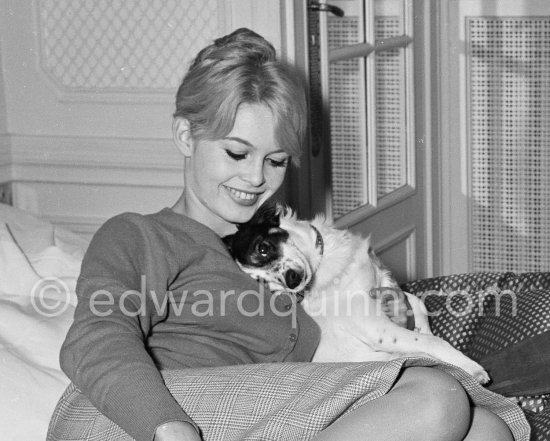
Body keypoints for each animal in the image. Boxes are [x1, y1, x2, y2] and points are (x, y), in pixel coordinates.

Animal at [224, 203, 492, 382]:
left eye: (263, 247)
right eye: (265, 286)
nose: (292, 280)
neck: (325, 264)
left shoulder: (384, 285)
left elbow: (418, 303)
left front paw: (423, 326)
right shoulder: (377, 329)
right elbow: (431, 341)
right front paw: (470, 366)